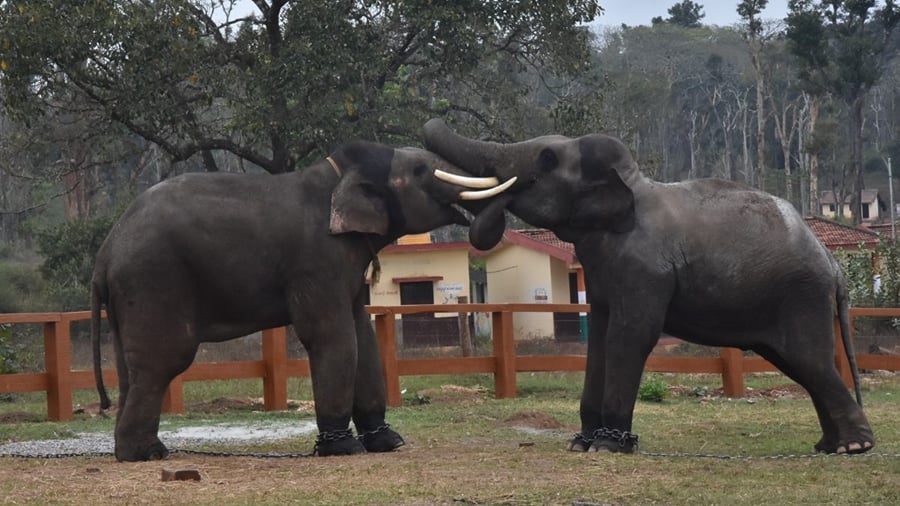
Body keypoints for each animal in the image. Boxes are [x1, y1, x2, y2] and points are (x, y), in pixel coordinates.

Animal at [91, 141, 513, 461]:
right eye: (421, 171)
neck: (340, 173)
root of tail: (106, 252)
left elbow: (362, 335)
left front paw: (388, 443)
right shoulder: (316, 260)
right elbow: (333, 336)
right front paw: (343, 449)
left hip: (132, 295)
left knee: (131, 368)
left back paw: (139, 450)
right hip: (154, 279)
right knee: (164, 360)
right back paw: (146, 454)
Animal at [424, 118, 875, 455]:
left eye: (548, 159)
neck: (632, 183)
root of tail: (834, 264)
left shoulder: (644, 268)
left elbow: (632, 335)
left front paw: (607, 446)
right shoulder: (603, 271)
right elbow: (599, 337)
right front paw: (581, 444)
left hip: (801, 294)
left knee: (810, 361)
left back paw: (854, 447)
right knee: (800, 364)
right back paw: (830, 446)